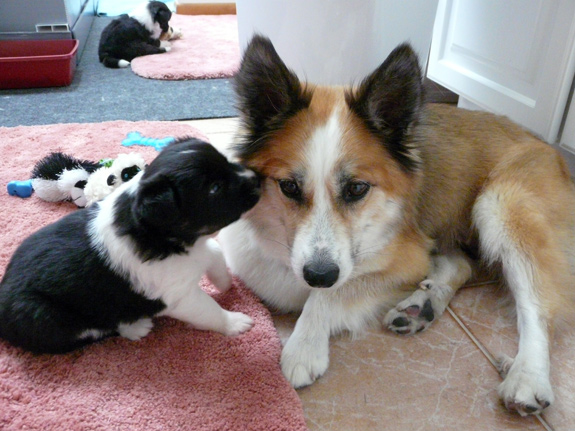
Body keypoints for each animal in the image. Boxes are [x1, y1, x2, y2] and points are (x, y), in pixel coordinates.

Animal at [0, 138, 260, 354]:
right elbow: (209, 310)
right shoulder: (179, 296)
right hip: (52, 319)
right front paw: (236, 322)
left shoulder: (197, 252)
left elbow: (215, 254)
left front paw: (226, 284)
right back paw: (136, 327)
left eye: (227, 162)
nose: (259, 179)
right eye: (215, 188)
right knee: (97, 329)